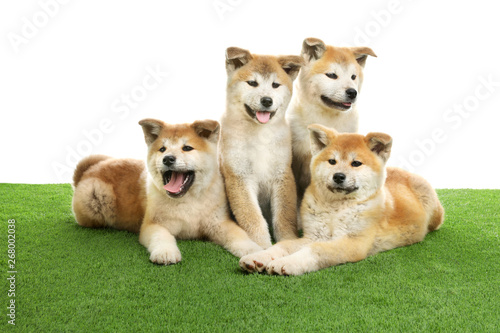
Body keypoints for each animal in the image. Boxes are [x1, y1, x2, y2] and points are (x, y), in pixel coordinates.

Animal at [74, 118, 264, 264]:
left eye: (187, 148)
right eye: (162, 149)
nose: (168, 159)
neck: (189, 201)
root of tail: (89, 170)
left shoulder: (219, 223)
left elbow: (239, 235)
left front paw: (255, 250)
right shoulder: (153, 224)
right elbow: (162, 237)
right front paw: (166, 252)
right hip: (94, 198)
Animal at [220, 47, 304, 249]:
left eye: (275, 85)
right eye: (252, 83)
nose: (267, 100)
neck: (260, 134)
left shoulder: (282, 174)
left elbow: (284, 215)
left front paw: (288, 241)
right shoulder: (239, 177)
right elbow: (252, 217)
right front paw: (263, 246)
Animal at [240, 124, 444, 274]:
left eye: (356, 163)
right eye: (332, 161)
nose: (338, 176)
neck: (335, 210)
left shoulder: (353, 243)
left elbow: (315, 251)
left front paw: (288, 263)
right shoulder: (313, 236)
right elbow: (283, 245)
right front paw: (260, 257)